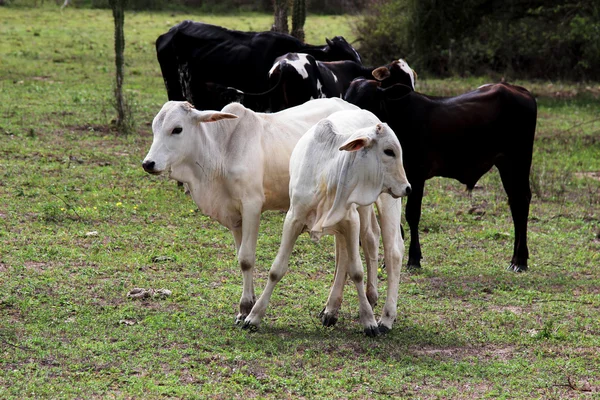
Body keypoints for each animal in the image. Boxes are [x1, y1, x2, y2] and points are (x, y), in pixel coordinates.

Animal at [144, 98, 380, 324]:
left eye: (177, 129)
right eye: (155, 128)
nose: (148, 163)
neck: (222, 150)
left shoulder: (252, 205)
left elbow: (247, 258)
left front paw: (247, 307)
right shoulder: (234, 216)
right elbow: (241, 258)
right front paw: (244, 309)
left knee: (367, 239)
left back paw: (361, 301)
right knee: (342, 250)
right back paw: (331, 308)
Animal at [241, 108, 410, 334]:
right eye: (389, 151)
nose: (408, 187)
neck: (327, 170)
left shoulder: (350, 220)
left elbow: (357, 271)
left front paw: (369, 321)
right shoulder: (294, 218)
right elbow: (277, 269)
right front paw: (254, 316)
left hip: (387, 201)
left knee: (393, 252)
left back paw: (386, 318)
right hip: (359, 213)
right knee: (365, 242)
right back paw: (336, 308)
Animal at [344, 80, 536, 272]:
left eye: (369, 101)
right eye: (347, 99)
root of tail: (518, 90)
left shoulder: (416, 176)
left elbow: (412, 214)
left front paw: (414, 258)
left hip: (518, 160)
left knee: (521, 201)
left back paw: (519, 260)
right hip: (506, 165)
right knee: (515, 203)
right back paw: (516, 258)